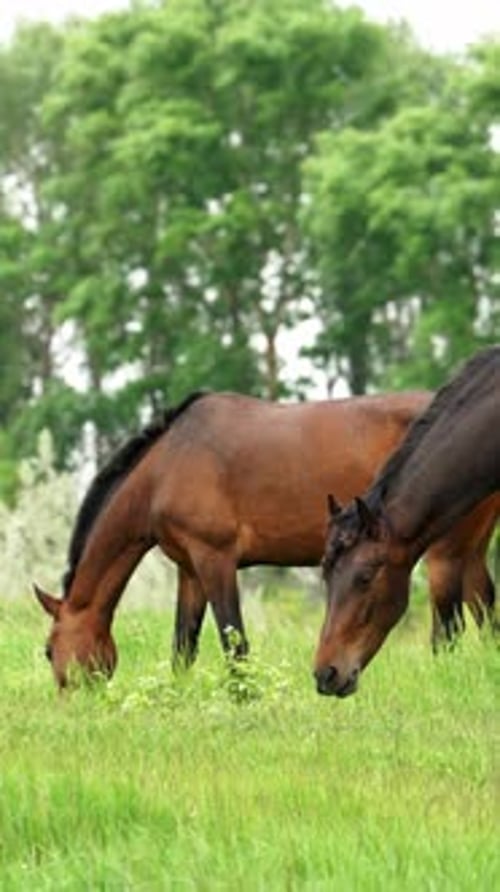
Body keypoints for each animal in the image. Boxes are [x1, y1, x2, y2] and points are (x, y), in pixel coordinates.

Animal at [34, 387, 498, 689]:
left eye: (48, 650)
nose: (74, 707)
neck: (167, 465)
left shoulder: (216, 559)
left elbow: (234, 643)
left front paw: (246, 701)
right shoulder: (190, 569)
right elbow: (183, 646)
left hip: (442, 552)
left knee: (448, 628)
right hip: (472, 550)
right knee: (484, 607)